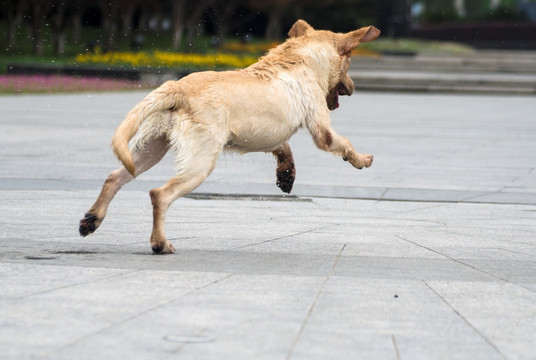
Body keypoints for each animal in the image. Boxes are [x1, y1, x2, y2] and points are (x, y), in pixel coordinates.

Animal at [79, 19, 382, 253]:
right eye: (349, 63)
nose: (352, 87)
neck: (300, 57)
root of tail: (177, 87)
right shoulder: (322, 130)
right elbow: (342, 143)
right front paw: (363, 159)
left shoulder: (265, 135)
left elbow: (284, 148)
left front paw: (286, 176)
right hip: (200, 161)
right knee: (160, 195)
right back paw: (160, 244)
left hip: (151, 148)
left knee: (114, 177)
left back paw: (92, 220)